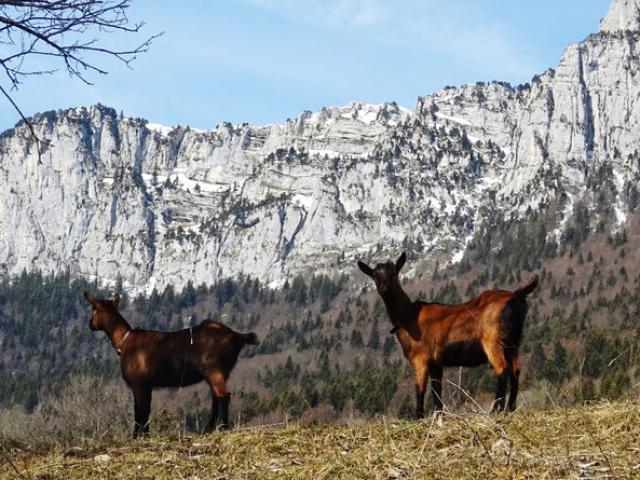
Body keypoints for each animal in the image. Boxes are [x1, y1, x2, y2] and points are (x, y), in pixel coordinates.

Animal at [84, 290, 258, 436]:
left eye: (94, 310)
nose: (90, 324)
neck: (124, 341)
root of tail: (237, 336)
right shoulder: (147, 384)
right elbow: (146, 409)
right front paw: (145, 435)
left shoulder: (139, 381)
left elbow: (139, 410)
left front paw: (137, 436)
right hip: (223, 371)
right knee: (217, 397)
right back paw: (209, 429)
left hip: (213, 369)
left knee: (223, 395)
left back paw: (222, 428)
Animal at [358, 255, 536, 416]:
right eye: (375, 275)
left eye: (394, 272)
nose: (385, 289)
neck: (409, 317)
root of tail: (516, 296)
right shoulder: (436, 364)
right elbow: (437, 391)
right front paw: (438, 417)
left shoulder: (421, 358)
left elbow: (420, 389)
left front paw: (418, 418)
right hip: (512, 342)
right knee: (515, 371)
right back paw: (510, 409)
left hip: (493, 340)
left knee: (502, 370)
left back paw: (495, 410)